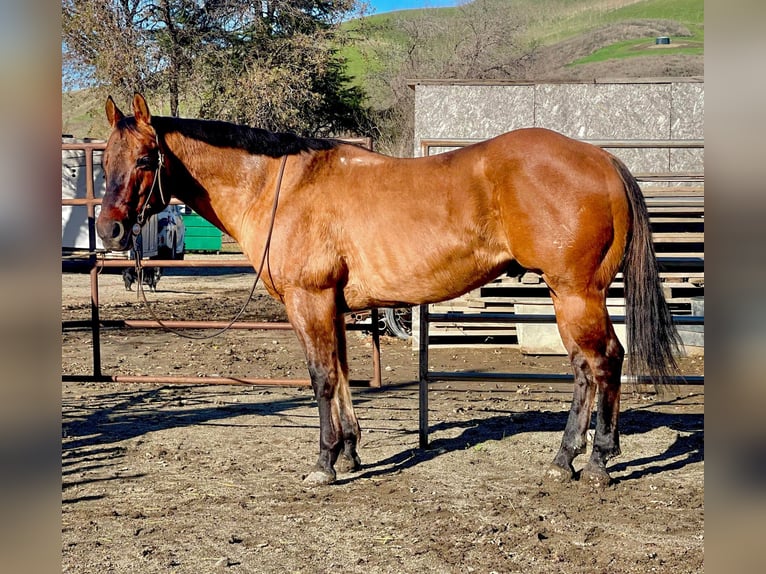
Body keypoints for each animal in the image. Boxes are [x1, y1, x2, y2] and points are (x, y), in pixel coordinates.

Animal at [97, 93, 684, 486]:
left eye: (146, 159)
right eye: (104, 161)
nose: (109, 231)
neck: (282, 186)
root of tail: (601, 158)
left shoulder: (309, 300)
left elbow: (321, 380)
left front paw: (325, 463)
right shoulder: (332, 306)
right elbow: (342, 374)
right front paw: (351, 452)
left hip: (577, 294)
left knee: (604, 362)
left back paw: (599, 459)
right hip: (570, 298)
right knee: (586, 370)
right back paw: (565, 459)